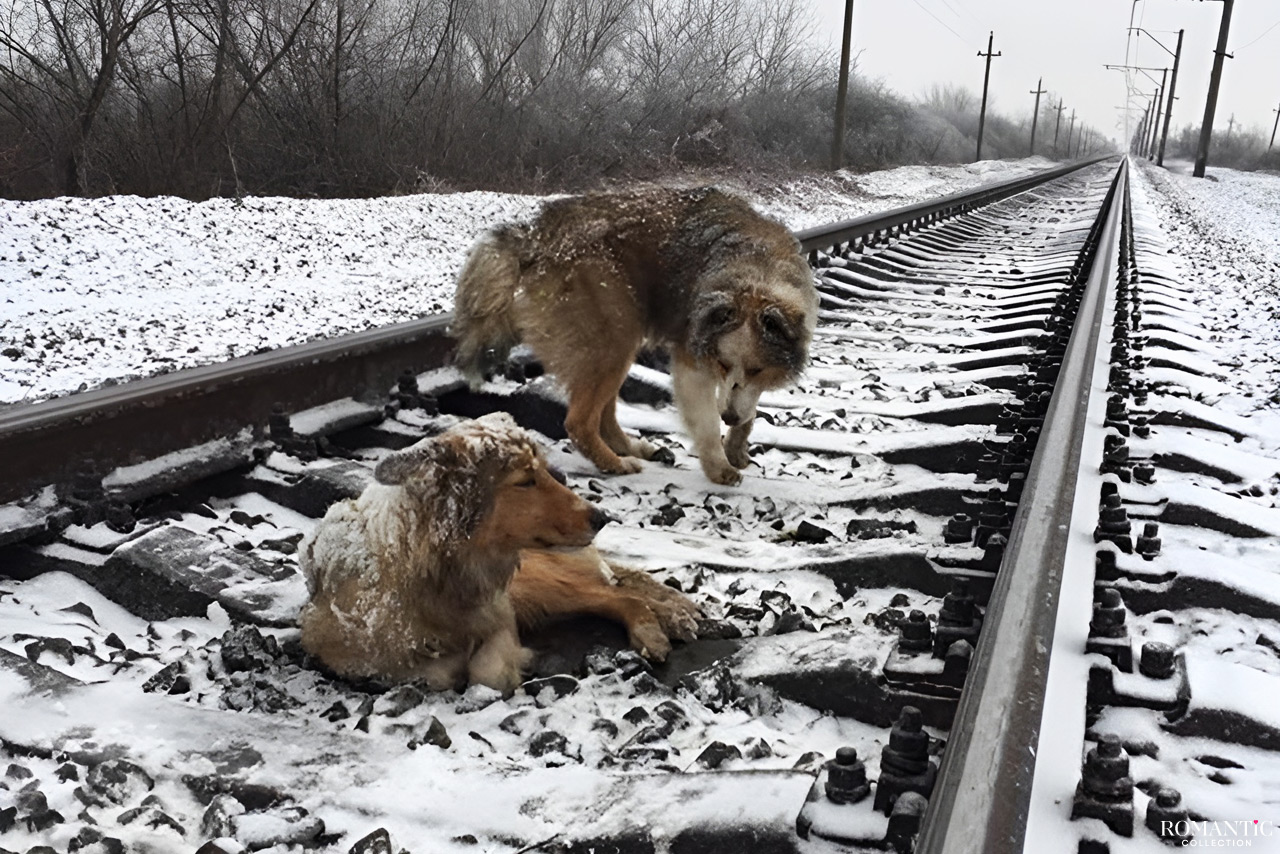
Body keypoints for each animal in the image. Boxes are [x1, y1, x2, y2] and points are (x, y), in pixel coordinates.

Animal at [296, 412, 701, 696]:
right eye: (525, 481)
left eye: (546, 472)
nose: (602, 517)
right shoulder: (342, 652)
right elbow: (434, 672)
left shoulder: (501, 611)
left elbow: (487, 672)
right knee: (615, 591)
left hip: (536, 585)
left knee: (618, 594)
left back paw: (660, 626)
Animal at [450, 188, 814, 486]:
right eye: (722, 365)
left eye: (757, 369)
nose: (729, 417)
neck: (757, 270)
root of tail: (536, 235)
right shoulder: (692, 360)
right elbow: (708, 421)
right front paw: (718, 465)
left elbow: (747, 406)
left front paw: (736, 444)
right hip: (614, 336)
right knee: (580, 421)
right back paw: (615, 463)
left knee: (605, 415)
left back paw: (634, 449)